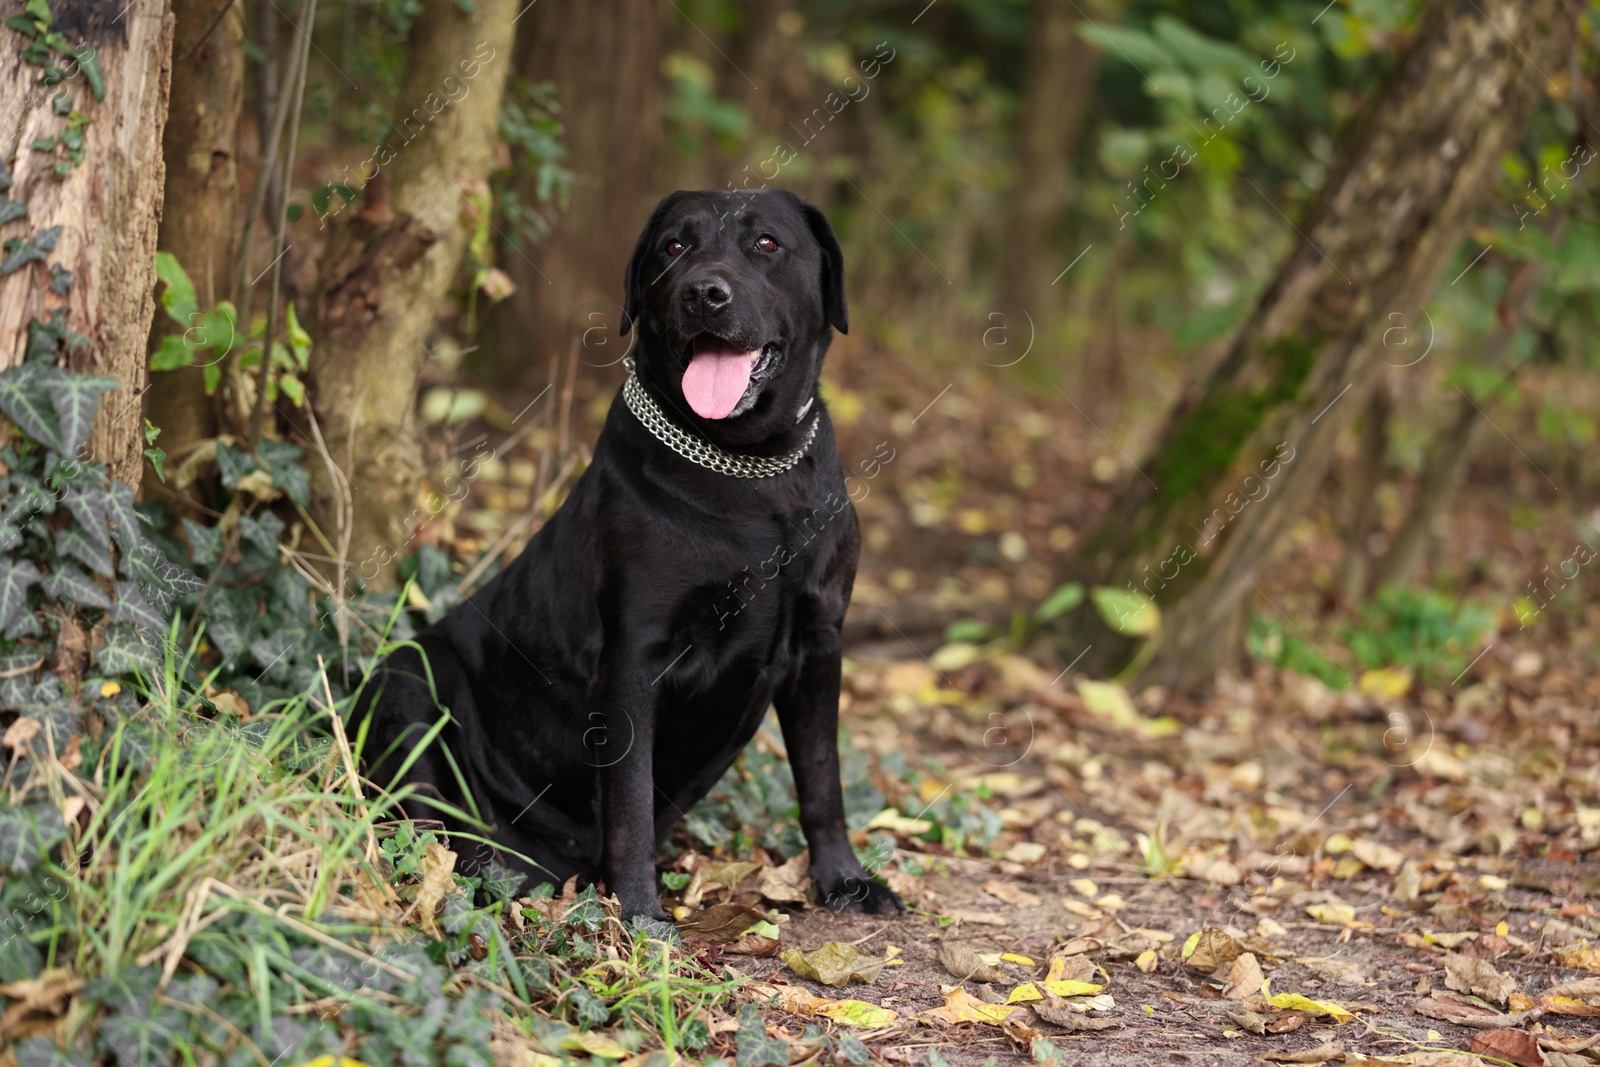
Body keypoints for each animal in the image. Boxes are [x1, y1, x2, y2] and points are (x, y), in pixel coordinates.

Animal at [363, 189, 908, 921]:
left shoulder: (821, 643)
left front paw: (845, 880)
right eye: (674, 247)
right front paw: (642, 915)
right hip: (408, 674)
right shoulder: (633, 661)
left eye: (766, 243)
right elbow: (629, 803)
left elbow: (823, 778)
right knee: (423, 815)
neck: (751, 470)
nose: (704, 293)